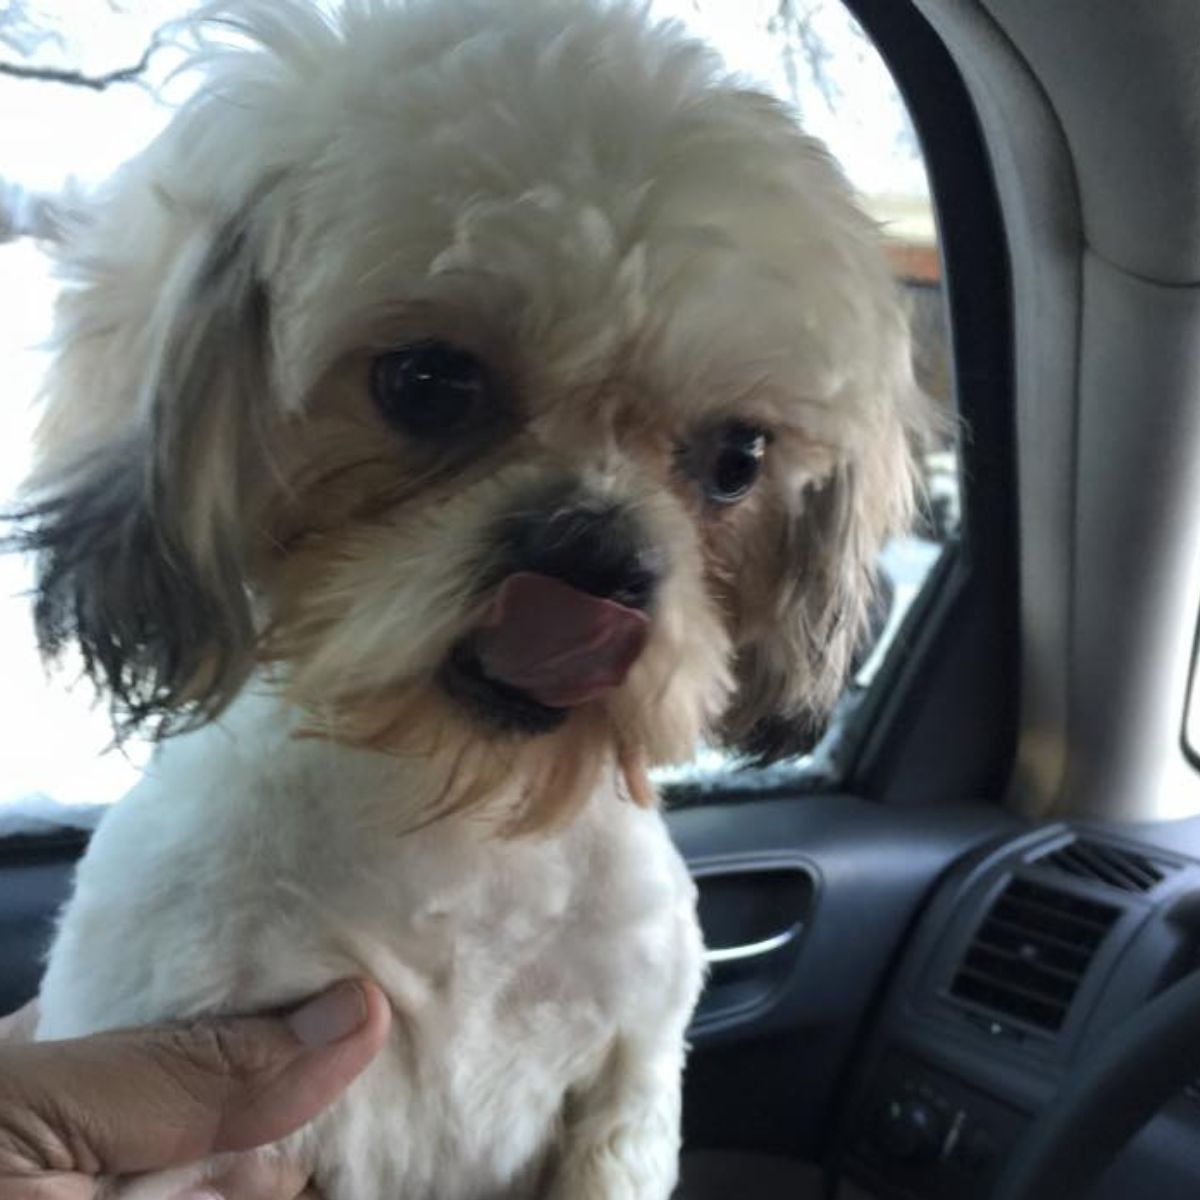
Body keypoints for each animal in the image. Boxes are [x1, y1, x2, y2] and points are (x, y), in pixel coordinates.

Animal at [14, 2, 921, 1200]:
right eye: (427, 383)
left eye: (738, 459)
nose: (596, 559)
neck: (464, 826)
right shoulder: (206, 1111)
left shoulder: (628, 1086)